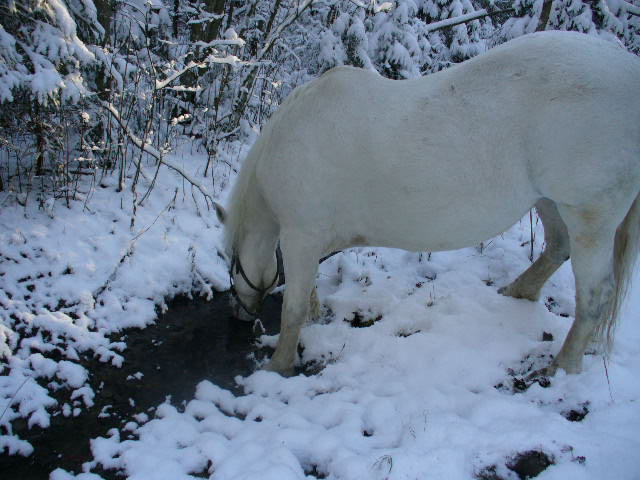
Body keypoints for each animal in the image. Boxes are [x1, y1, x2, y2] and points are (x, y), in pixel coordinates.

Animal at [216, 31, 640, 376]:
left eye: (231, 262)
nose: (237, 314)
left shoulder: (301, 236)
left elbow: (293, 307)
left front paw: (279, 365)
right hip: (550, 200)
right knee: (557, 247)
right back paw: (518, 292)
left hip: (591, 215)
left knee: (596, 293)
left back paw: (564, 365)